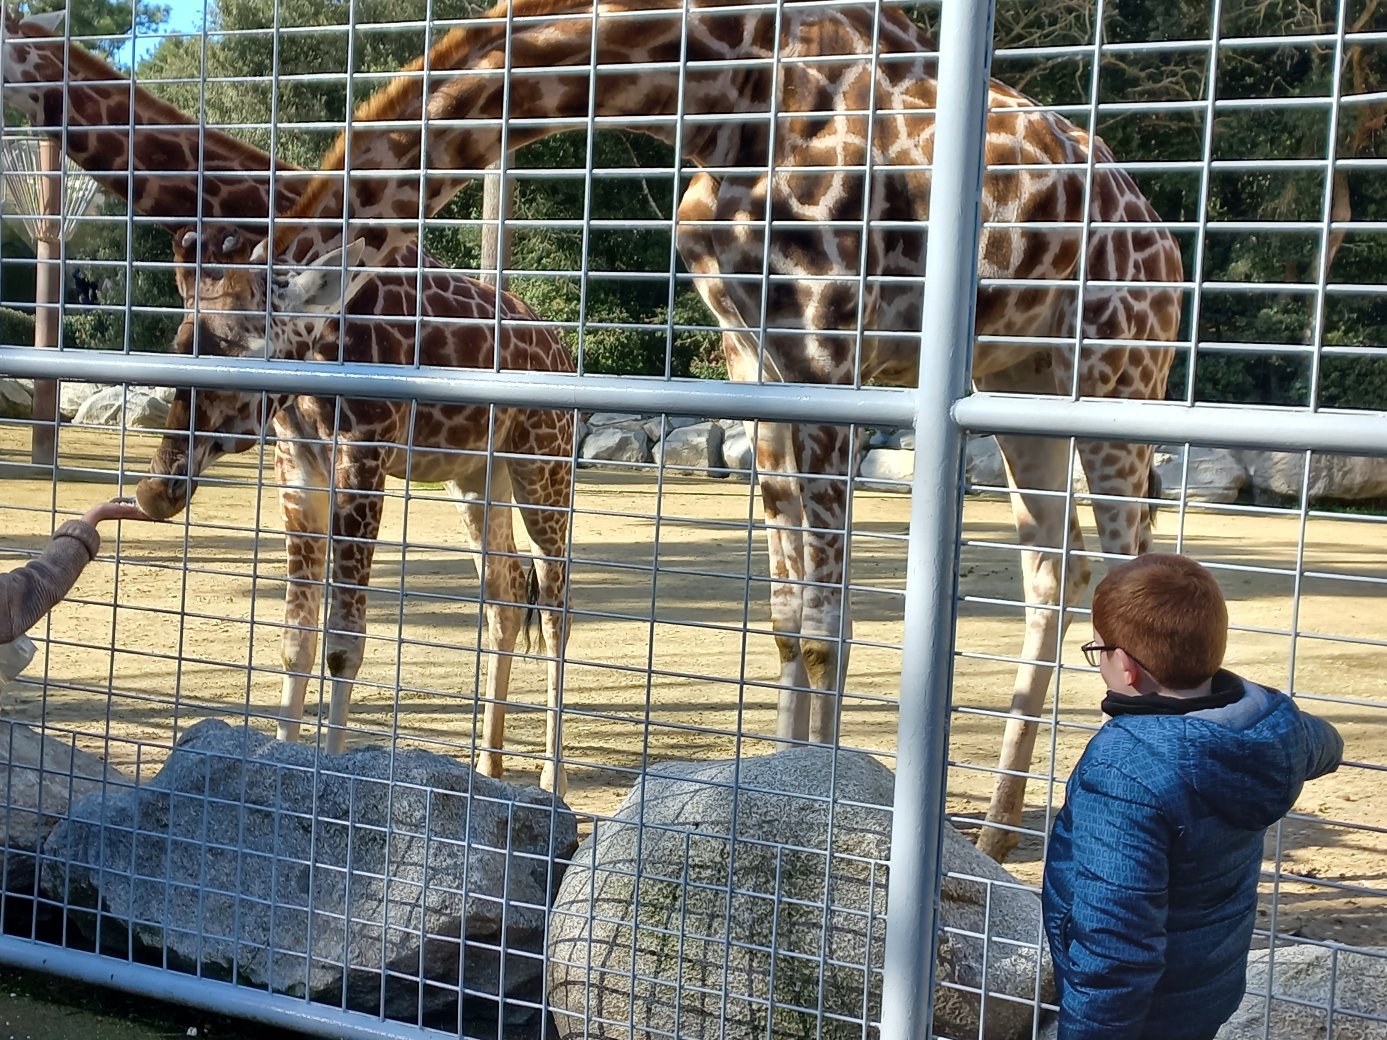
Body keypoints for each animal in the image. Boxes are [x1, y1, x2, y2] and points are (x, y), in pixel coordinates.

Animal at [0, 8, 579, 793]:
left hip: (542, 465)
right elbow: (296, 642)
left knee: (556, 598)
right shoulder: (296, 452)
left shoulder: (365, 446)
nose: (154, 491)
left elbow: (344, 643)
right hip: (473, 474)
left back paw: (551, 782)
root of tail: (558, 349)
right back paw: (485, 767)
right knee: (508, 590)